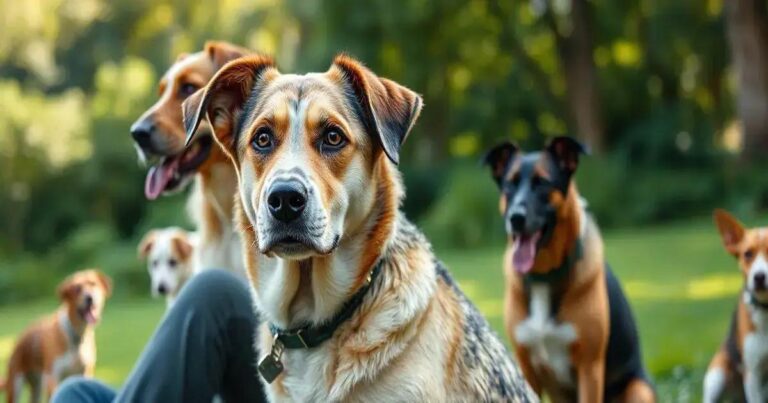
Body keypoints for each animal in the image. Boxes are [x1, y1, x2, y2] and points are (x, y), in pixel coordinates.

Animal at [1, 270, 112, 402]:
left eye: (93, 284)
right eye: (77, 289)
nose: (89, 298)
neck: (76, 335)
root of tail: (19, 339)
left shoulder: (85, 373)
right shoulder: (52, 377)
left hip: (37, 386)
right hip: (16, 384)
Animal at [486, 139, 656, 403]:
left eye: (542, 183)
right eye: (509, 184)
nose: (515, 218)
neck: (544, 277)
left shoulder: (589, 367)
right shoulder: (525, 366)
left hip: (639, 390)